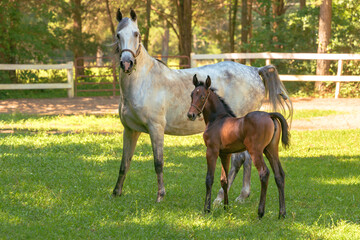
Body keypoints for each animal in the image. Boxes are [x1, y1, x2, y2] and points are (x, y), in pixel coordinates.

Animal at [112, 9, 292, 204]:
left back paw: (220, 198)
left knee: (239, 160)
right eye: (118, 34)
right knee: (247, 160)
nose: (127, 63)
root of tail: (255, 70)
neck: (144, 82)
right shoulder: (130, 130)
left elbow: (158, 162)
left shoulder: (156, 128)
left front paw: (160, 195)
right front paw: (116, 192)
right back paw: (242, 196)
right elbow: (124, 162)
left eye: (136, 34)